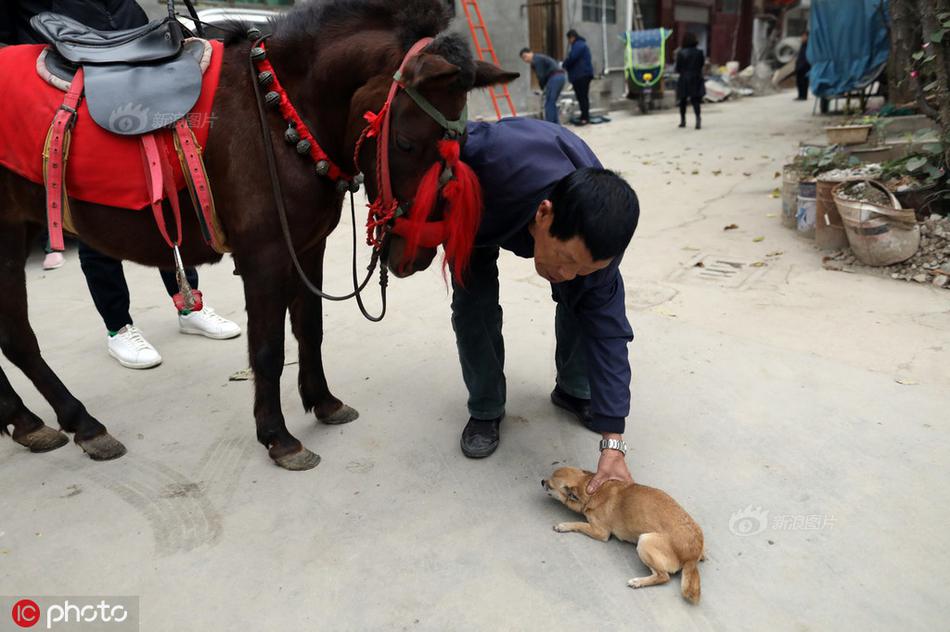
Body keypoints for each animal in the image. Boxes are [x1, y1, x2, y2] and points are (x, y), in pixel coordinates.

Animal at [0, 0, 516, 470]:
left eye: (461, 140)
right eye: (407, 143)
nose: (418, 254)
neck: (278, 112)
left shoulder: (307, 247)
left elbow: (310, 328)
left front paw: (324, 402)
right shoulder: (264, 256)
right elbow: (267, 348)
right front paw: (278, 437)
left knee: (12, 336)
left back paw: (34, 424)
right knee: (17, 335)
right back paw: (80, 424)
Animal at [544, 466, 708, 604]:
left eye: (550, 486)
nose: (541, 481)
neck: (593, 490)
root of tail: (692, 555)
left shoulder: (600, 532)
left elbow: (579, 524)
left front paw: (563, 525)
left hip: (644, 541)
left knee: (663, 577)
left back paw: (638, 582)